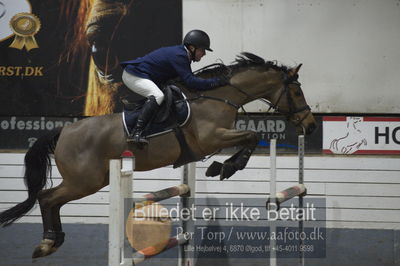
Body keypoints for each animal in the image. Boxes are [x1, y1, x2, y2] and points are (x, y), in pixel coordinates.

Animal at [1, 52, 318, 258]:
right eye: (297, 92)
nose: (311, 126)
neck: (218, 95)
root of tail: (63, 131)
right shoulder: (211, 138)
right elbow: (251, 136)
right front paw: (226, 166)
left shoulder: (215, 139)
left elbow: (249, 138)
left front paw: (221, 167)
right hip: (85, 181)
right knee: (47, 198)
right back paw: (47, 243)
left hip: (90, 180)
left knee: (50, 200)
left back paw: (53, 243)